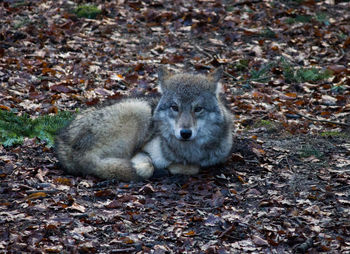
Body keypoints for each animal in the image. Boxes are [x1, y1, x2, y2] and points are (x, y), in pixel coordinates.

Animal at [54, 68, 232, 181]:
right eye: (175, 107)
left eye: (198, 109)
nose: (185, 133)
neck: (188, 152)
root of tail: (63, 145)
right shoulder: (140, 151)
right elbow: (149, 166)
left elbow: (193, 167)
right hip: (139, 109)